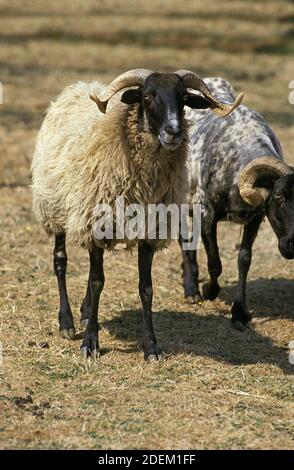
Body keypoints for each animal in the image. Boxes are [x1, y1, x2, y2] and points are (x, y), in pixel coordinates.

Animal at [179, 76, 294, 330]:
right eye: (279, 197)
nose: (293, 246)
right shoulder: (206, 213)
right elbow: (215, 263)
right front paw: (208, 290)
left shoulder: (255, 218)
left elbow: (244, 260)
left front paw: (240, 312)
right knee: (184, 240)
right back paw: (191, 289)